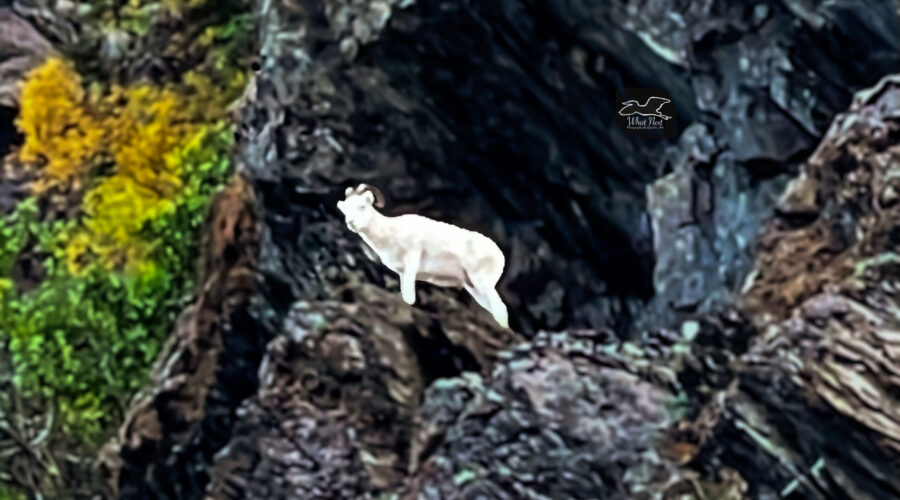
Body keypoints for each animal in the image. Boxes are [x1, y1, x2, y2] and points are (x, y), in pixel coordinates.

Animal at [337, 183, 509, 328]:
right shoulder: (402, 274)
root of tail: (500, 256)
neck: (390, 234)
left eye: (362, 206)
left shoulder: (411, 266)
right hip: (475, 290)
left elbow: (409, 298)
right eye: (346, 209)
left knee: (500, 310)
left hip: (482, 284)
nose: (351, 223)